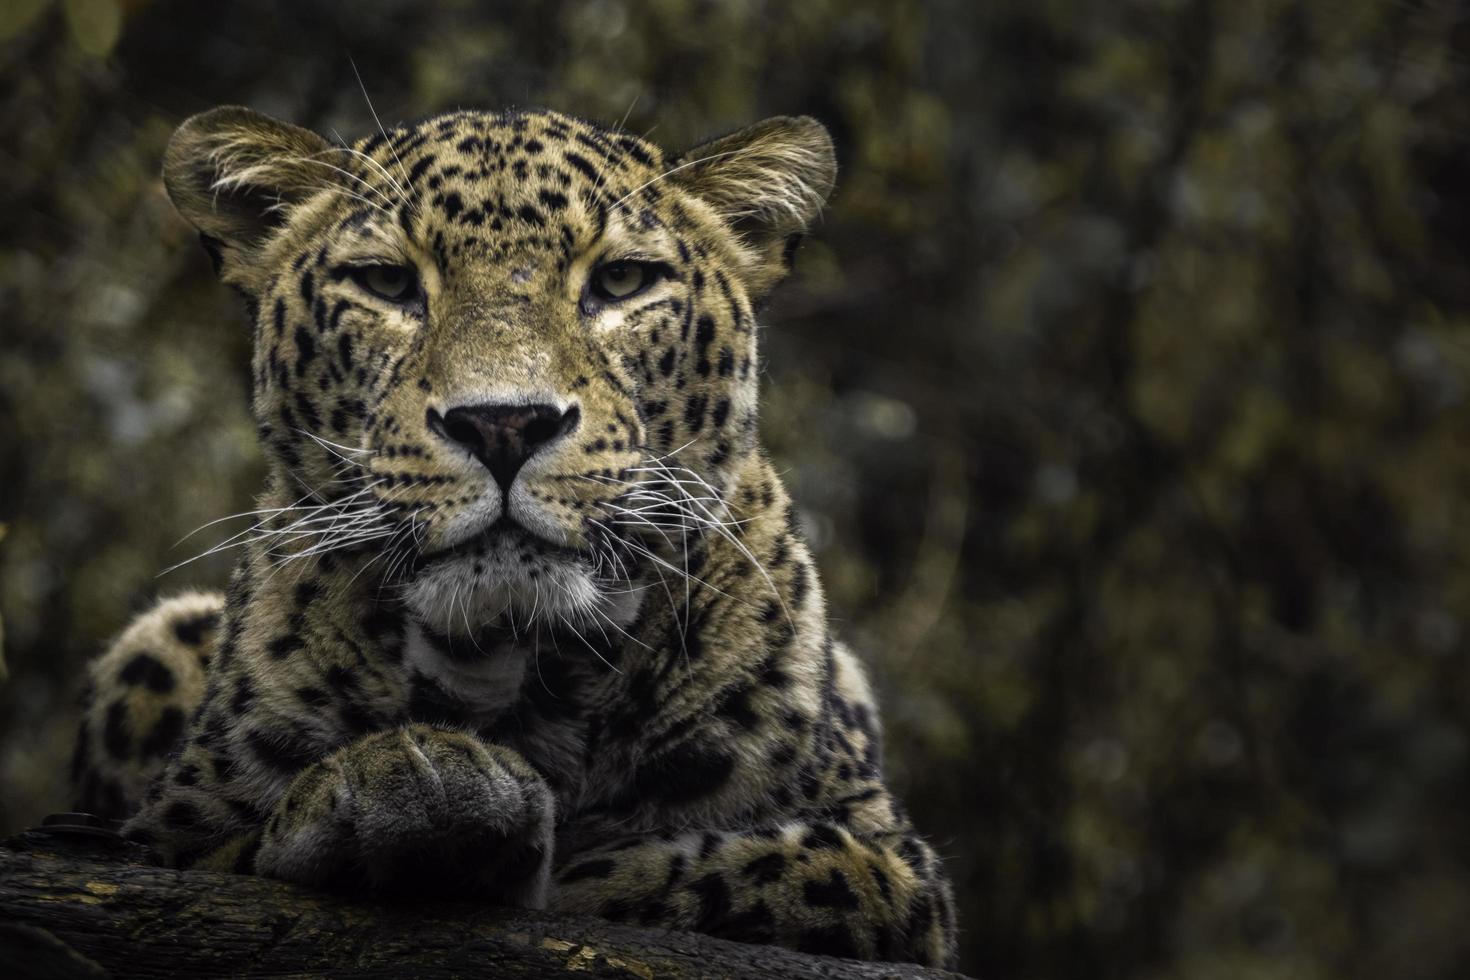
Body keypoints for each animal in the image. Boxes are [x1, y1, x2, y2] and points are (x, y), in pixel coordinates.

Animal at [69, 103, 958, 969]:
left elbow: (730, 867)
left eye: (623, 280)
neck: (519, 674)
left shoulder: (898, 869)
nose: (503, 425)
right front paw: (404, 790)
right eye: (386, 281)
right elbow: (225, 847)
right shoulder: (163, 839)